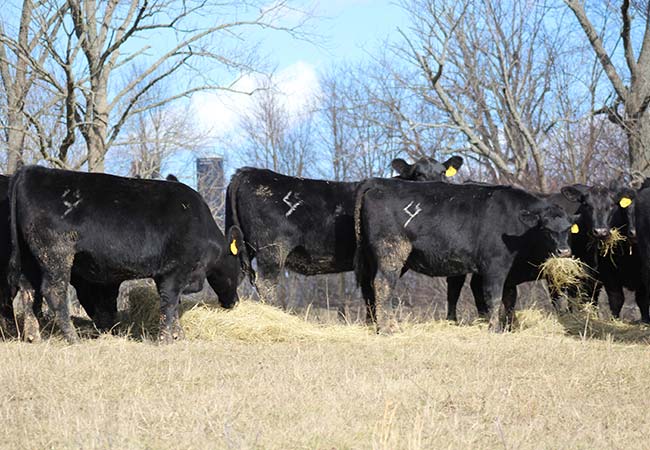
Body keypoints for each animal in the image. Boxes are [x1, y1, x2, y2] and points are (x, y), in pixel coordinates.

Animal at [8, 167, 242, 342]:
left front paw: (178, 335)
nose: (234, 302)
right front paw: (166, 339)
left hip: (30, 260)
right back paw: (73, 338)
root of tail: (31, 171)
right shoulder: (176, 270)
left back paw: (33, 337)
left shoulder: (166, 274)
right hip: (56, 254)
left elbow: (173, 305)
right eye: (240, 272)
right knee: (54, 291)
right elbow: (169, 302)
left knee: (29, 291)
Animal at [225, 156, 464, 308]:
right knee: (267, 284)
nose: (438, 189)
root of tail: (249, 172)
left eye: (443, 172)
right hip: (272, 249)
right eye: (418, 174)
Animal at [354, 178, 572, 332]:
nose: (564, 251)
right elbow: (493, 296)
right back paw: (389, 329)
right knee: (383, 285)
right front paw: (494, 329)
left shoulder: (508, 273)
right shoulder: (495, 265)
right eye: (545, 229)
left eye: (569, 229)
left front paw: (509, 327)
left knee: (371, 287)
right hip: (391, 251)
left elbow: (509, 299)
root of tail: (379, 182)